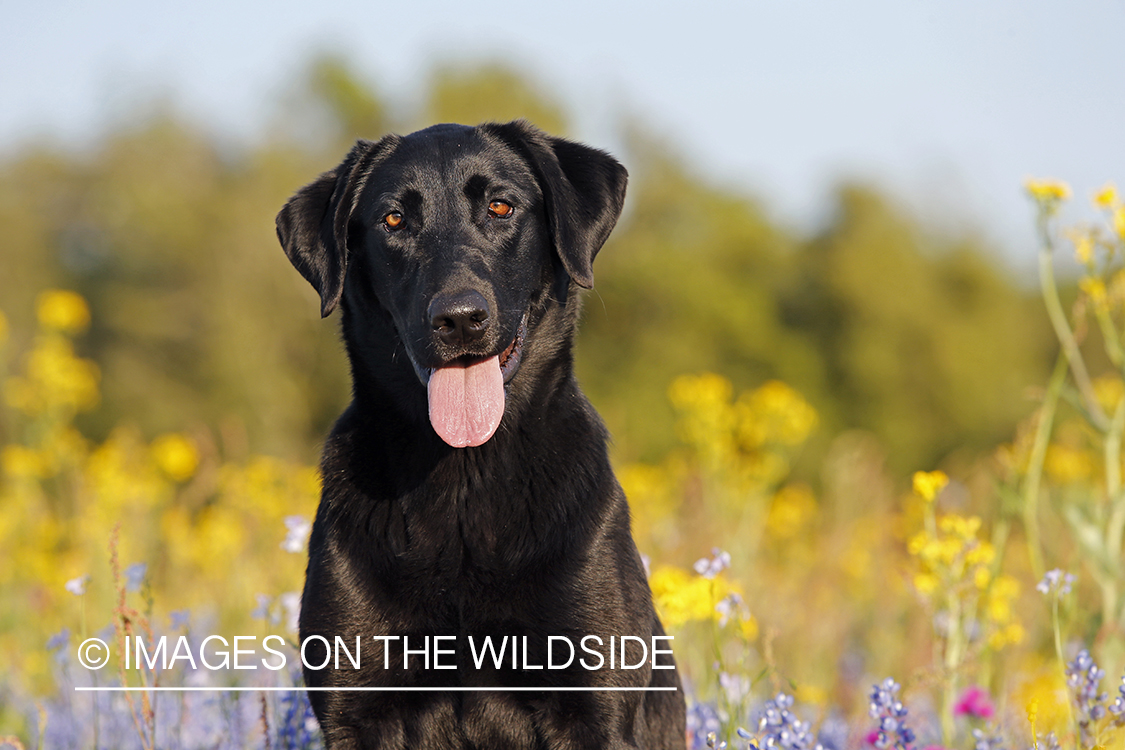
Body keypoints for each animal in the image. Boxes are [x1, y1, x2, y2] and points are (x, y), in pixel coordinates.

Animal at [274, 120, 684, 746]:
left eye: (500, 206)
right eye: (394, 219)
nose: (460, 318)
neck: (465, 477)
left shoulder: (593, 707)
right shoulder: (358, 707)